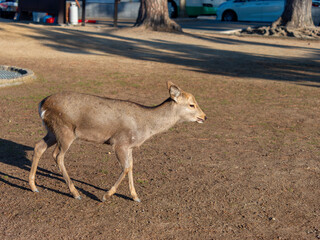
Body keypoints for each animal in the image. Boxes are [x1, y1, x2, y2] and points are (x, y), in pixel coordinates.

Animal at [28, 81, 206, 202]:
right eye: (192, 104)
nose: (204, 116)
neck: (146, 127)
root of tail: (41, 104)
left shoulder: (130, 146)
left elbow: (131, 166)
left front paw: (135, 196)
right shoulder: (120, 143)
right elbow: (126, 168)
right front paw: (106, 195)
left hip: (52, 131)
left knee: (39, 146)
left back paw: (34, 187)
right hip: (65, 131)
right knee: (58, 155)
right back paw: (75, 193)